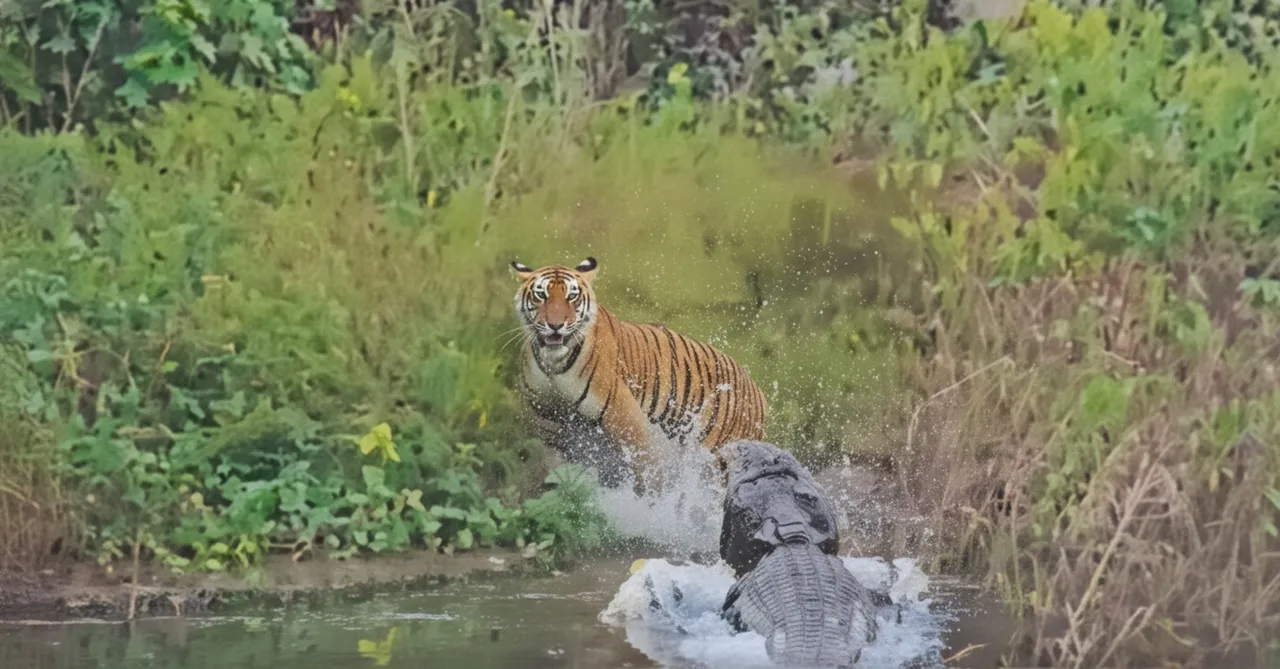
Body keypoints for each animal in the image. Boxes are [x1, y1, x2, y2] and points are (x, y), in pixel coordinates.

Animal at [510, 256, 769, 495]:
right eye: (541, 295)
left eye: (572, 296)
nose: (555, 325)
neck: (553, 366)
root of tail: (758, 391)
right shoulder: (550, 431)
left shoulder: (627, 422)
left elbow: (644, 473)